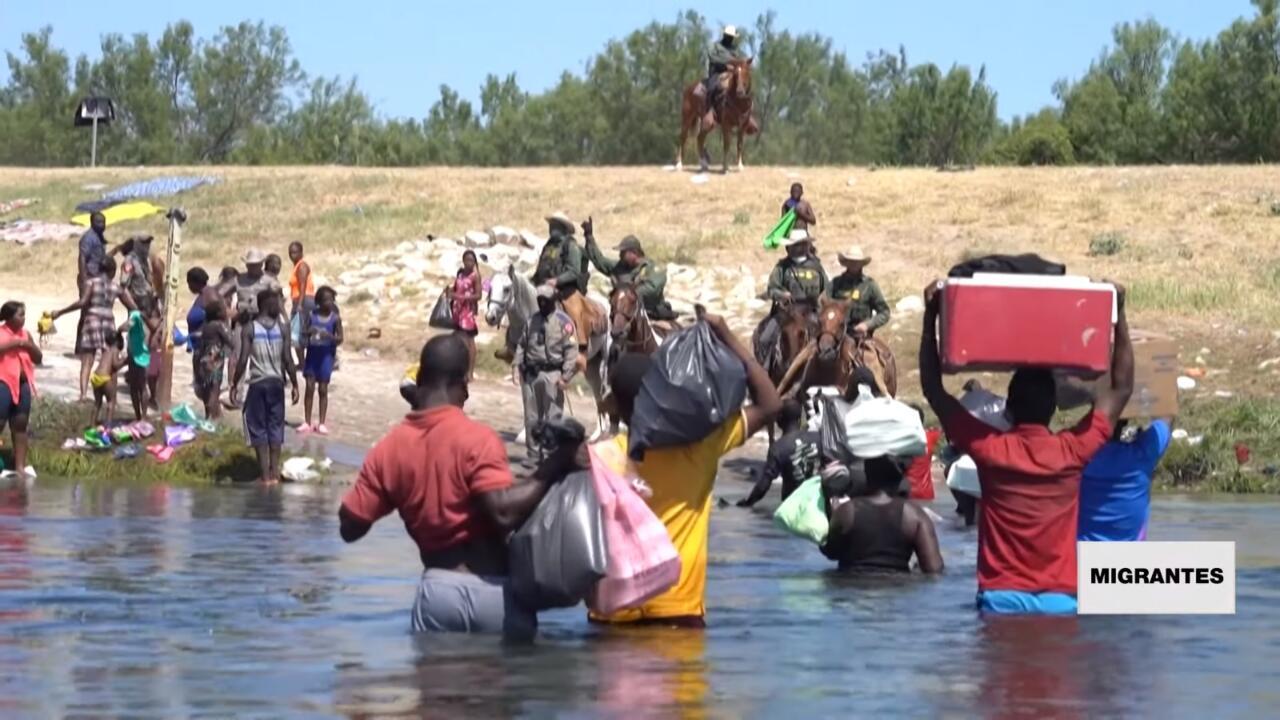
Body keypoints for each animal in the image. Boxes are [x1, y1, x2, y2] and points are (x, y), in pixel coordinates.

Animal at [485, 264, 613, 439]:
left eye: (506, 289)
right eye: (490, 288)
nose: (490, 317)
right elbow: (528, 399)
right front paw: (525, 433)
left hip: (606, 361)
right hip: (592, 366)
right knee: (598, 393)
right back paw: (598, 433)